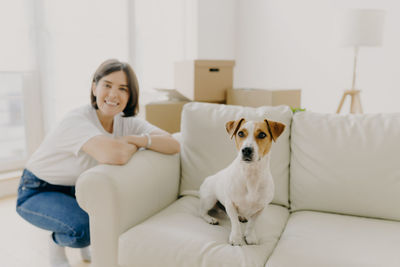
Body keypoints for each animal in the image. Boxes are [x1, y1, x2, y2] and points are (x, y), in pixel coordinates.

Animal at [198, 118, 286, 246]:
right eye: (240, 133)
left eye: (262, 134)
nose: (246, 150)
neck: (251, 175)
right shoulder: (230, 204)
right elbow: (235, 223)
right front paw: (236, 238)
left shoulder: (260, 208)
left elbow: (252, 224)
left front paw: (250, 236)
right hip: (209, 199)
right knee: (201, 212)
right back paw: (211, 219)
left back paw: (242, 217)